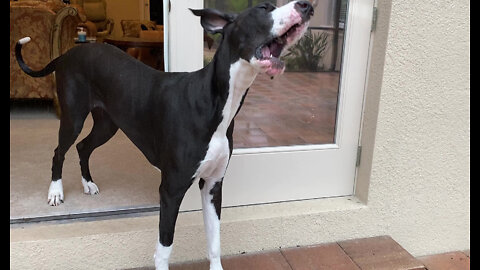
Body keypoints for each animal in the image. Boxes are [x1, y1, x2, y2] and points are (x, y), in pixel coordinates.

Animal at [15, 1, 314, 268]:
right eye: (263, 8)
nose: (307, 6)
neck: (215, 101)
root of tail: (67, 54)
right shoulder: (171, 189)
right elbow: (165, 247)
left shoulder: (213, 186)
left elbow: (214, 243)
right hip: (74, 117)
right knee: (60, 151)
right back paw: (55, 192)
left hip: (107, 125)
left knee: (83, 147)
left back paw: (88, 183)